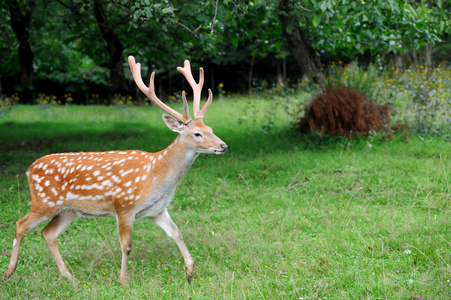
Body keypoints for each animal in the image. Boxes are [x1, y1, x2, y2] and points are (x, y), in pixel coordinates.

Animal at [2, 56, 230, 284]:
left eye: (210, 129)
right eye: (198, 134)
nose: (223, 145)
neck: (156, 176)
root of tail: (29, 170)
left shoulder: (157, 209)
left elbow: (177, 233)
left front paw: (190, 271)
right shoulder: (124, 206)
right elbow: (126, 245)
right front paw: (123, 279)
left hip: (68, 210)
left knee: (48, 233)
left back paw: (69, 277)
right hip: (44, 201)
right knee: (20, 224)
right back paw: (9, 272)